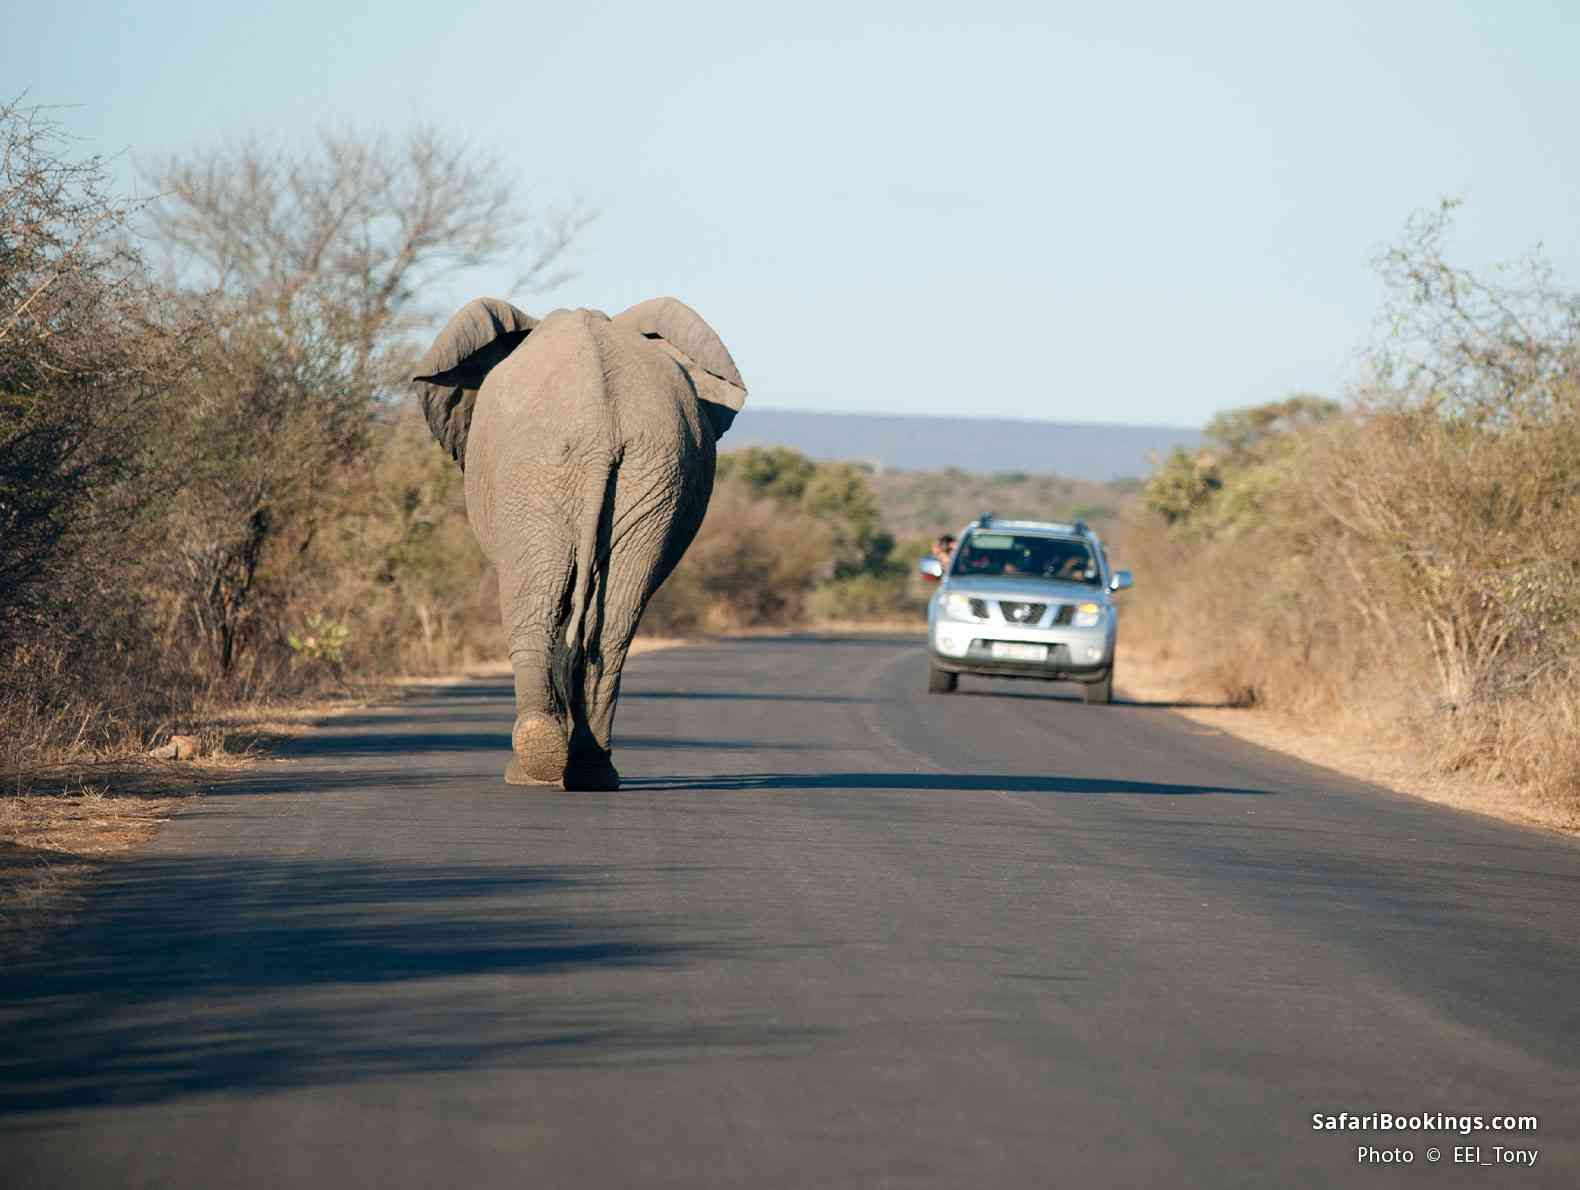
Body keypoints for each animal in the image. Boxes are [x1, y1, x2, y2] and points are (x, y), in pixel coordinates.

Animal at [412, 296, 746, 791]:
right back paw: (590, 772)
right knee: (613, 626)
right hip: (656, 474)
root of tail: (599, 429)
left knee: (534, 607)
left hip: (533, 473)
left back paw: (533, 767)